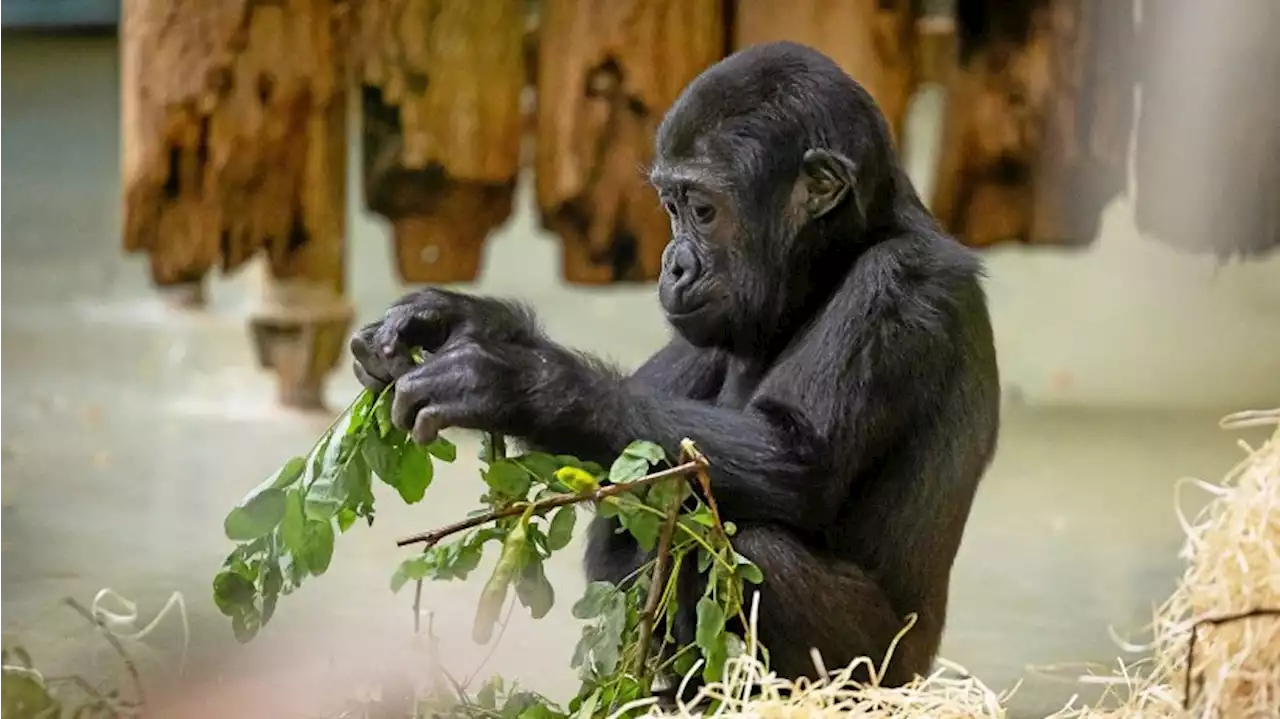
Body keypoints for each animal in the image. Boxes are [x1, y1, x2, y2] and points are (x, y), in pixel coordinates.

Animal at [350, 40, 998, 690]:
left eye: (704, 210)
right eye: (672, 206)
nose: (674, 264)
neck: (844, 252)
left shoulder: (899, 285)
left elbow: (799, 459)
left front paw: (513, 383)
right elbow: (641, 409)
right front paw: (457, 320)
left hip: (882, 675)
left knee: (753, 548)